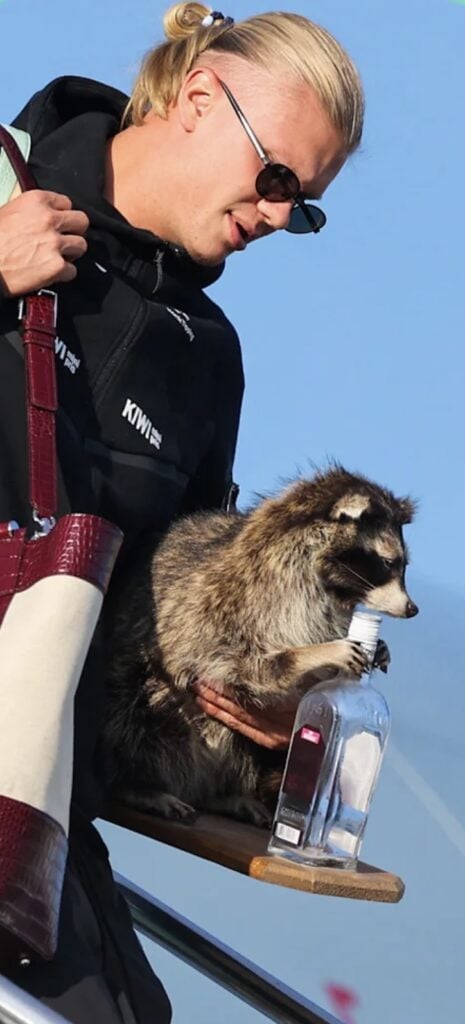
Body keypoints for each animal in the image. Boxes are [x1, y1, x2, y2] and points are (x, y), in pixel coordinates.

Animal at [103, 465, 418, 827]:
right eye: (387, 563)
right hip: (138, 692)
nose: (412, 609)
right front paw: (311, 654)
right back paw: (137, 783)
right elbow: (247, 665)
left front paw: (377, 646)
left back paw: (225, 795)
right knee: (132, 712)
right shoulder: (219, 609)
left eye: (403, 565)